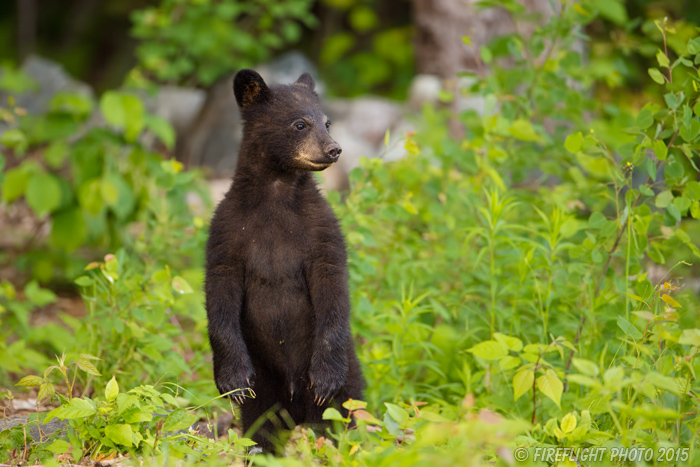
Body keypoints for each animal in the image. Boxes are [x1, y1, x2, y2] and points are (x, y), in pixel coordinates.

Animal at [205, 69, 364, 454]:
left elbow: (332, 285)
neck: (276, 195)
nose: (334, 149)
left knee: (341, 414)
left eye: (327, 122)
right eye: (300, 124)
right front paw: (232, 379)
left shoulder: (320, 230)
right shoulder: (227, 231)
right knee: (259, 421)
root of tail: (295, 408)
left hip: (347, 378)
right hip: (265, 381)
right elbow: (219, 291)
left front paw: (325, 378)